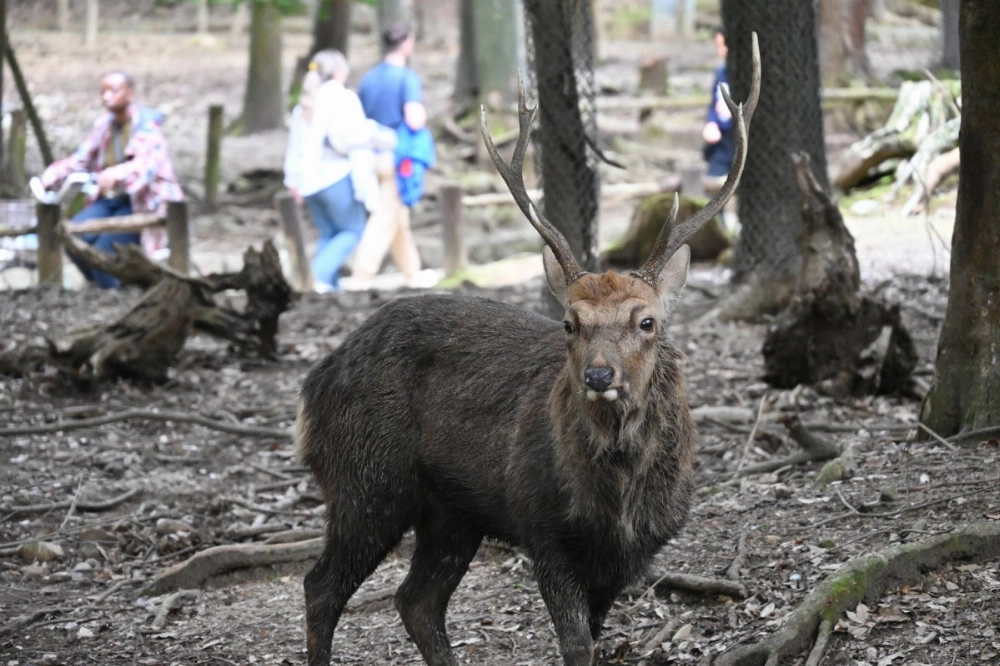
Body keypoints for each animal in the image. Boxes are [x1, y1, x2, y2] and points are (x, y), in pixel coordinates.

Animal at [297, 34, 760, 666]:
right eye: (569, 322)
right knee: (321, 586)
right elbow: (576, 645)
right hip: (365, 479)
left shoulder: (630, 555)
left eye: (647, 322)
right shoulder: (543, 528)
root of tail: (314, 381)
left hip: (451, 511)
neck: (615, 502)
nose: (599, 375)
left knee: (416, 600)